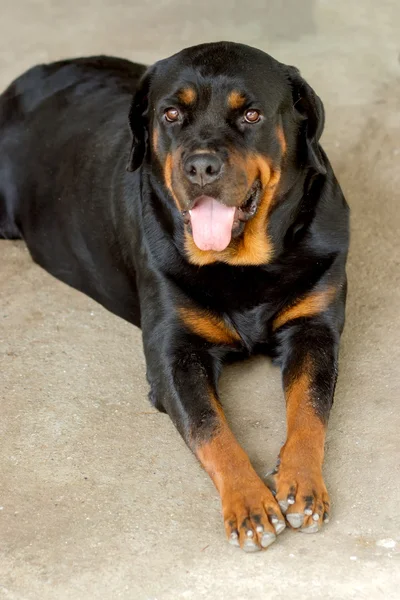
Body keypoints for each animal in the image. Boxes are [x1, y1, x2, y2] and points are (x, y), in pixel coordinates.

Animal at [0, 42, 350, 552]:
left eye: (251, 114)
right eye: (170, 114)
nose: (201, 166)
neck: (242, 266)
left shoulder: (314, 330)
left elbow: (310, 408)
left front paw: (301, 483)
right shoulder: (173, 354)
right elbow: (210, 427)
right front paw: (250, 504)